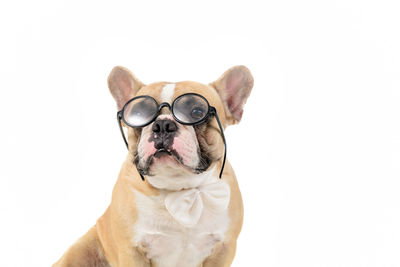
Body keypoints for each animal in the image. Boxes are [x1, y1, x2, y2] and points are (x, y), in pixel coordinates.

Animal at [53, 65, 253, 267]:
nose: (163, 125)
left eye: (197, 112)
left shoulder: (223, 249)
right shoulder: (132, 251)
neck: (179, 190)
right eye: (138, 115)